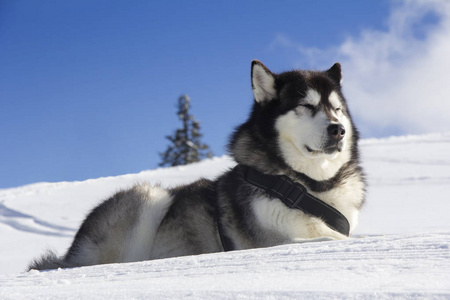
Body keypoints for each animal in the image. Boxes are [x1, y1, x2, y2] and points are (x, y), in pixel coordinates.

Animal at [28, 59, 366, 270]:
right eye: (306, 106)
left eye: (337, 108)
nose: (338, 130)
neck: (306, 185)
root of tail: (71, 252)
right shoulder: (271, 241)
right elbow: (328, 238)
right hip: (148, 196)